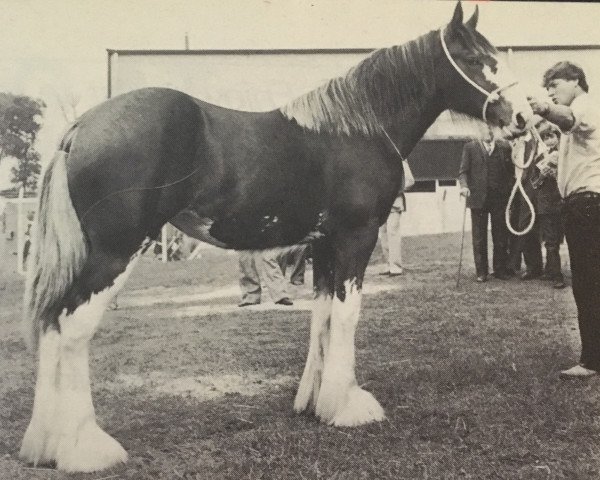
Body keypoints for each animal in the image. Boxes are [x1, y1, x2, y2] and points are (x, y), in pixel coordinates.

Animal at [21, 2, 532, 472]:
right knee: (71, 326)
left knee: (50, 324)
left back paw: (45, 446)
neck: (359, 128)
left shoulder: (324, 244)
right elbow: (348, 316)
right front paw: (349, 407)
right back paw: (86, 449)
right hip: (115, 253)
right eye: (476, 59)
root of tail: (82, 126)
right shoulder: (356, 237)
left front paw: (316, 402)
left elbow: (322, 316)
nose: (524, 119)